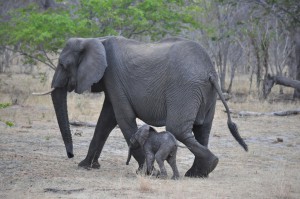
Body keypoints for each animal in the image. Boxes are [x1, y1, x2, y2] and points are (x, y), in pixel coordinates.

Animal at [41, 36, 248, 177]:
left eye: (63, 65)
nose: (70, 155)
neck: (95, 40)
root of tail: (209, 71)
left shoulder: (114, 77)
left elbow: (123, 119)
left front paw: (145, 172)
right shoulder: (112, 82)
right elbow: (106, 120)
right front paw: (86, 166)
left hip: (185, 88)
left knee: (179, 129)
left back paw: (208, 165)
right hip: (206, 92)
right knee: (202, 129)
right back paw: (198, 173)